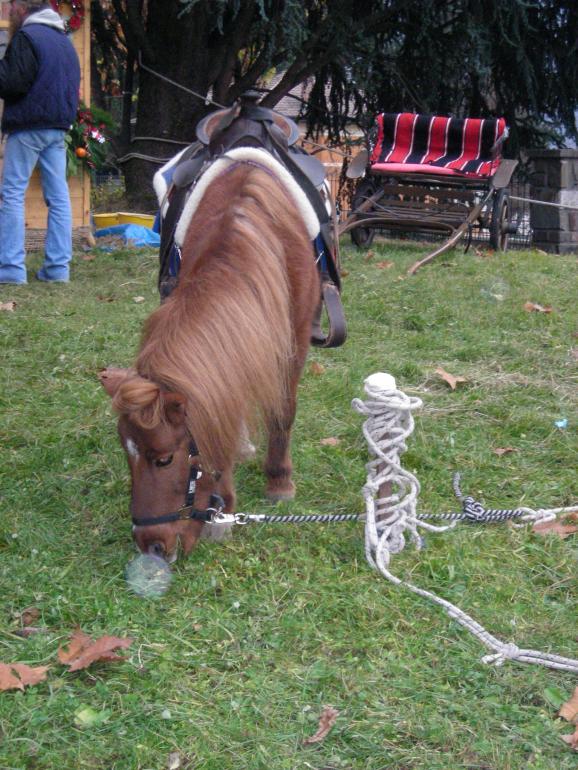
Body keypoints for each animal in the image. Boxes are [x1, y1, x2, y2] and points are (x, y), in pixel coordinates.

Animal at [97, 162, 318, 560]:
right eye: (126, 452)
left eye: (164, 459)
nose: (151, 544)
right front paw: (224, 511)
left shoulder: (294, 343)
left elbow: (282, 410)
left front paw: (279, 482)